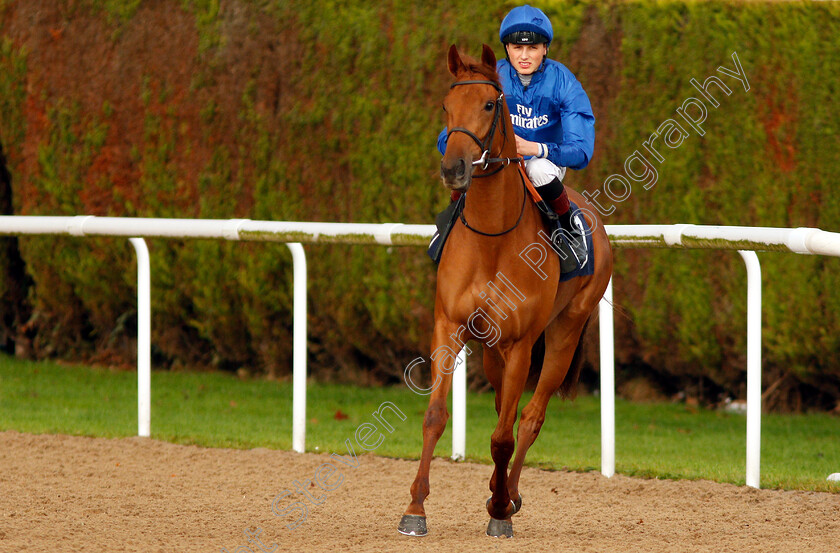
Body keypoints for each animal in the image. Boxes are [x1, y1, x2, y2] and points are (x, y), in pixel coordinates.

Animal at [398, 45, 612, 536]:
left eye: (488, 105)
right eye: (446, 106)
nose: (453, 168)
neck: (492, 240)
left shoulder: (520, 344)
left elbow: (503, 435)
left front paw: (498, 510)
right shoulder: (450, 327)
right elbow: (435, 417)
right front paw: (415, 508)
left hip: (563, 332)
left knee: (529, 418)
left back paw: (508, 495)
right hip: (491, 348)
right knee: (505, 408)